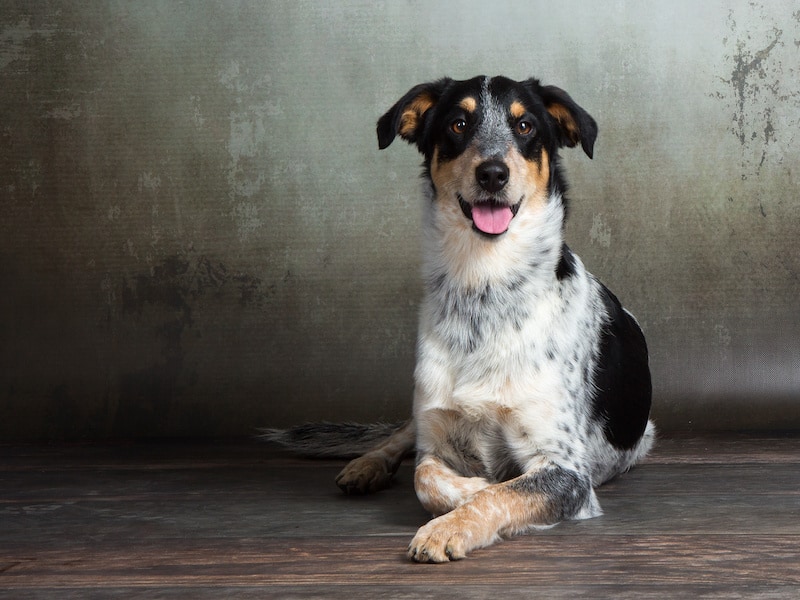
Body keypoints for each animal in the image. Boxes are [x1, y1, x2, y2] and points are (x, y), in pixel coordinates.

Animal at [266, 75, 652, 564]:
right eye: (458, 123)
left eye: (525, 125)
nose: (492, 173)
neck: (483, 291)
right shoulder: (437, 439)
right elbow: (427, 478)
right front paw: (467, 488)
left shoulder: (564, 468)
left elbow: (501, 492)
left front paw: (449, 525)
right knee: (402, 434)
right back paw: (366, 464)